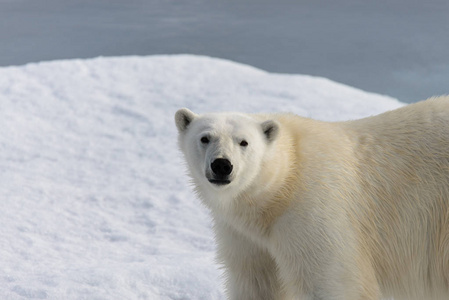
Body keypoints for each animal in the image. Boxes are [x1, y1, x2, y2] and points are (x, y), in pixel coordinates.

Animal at [174, 96, 448, 300]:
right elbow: (256, 281)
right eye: (205, 137)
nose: (222, 165)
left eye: (244, 142)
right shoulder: (244, 236)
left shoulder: (314, 209)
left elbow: (330, 281)